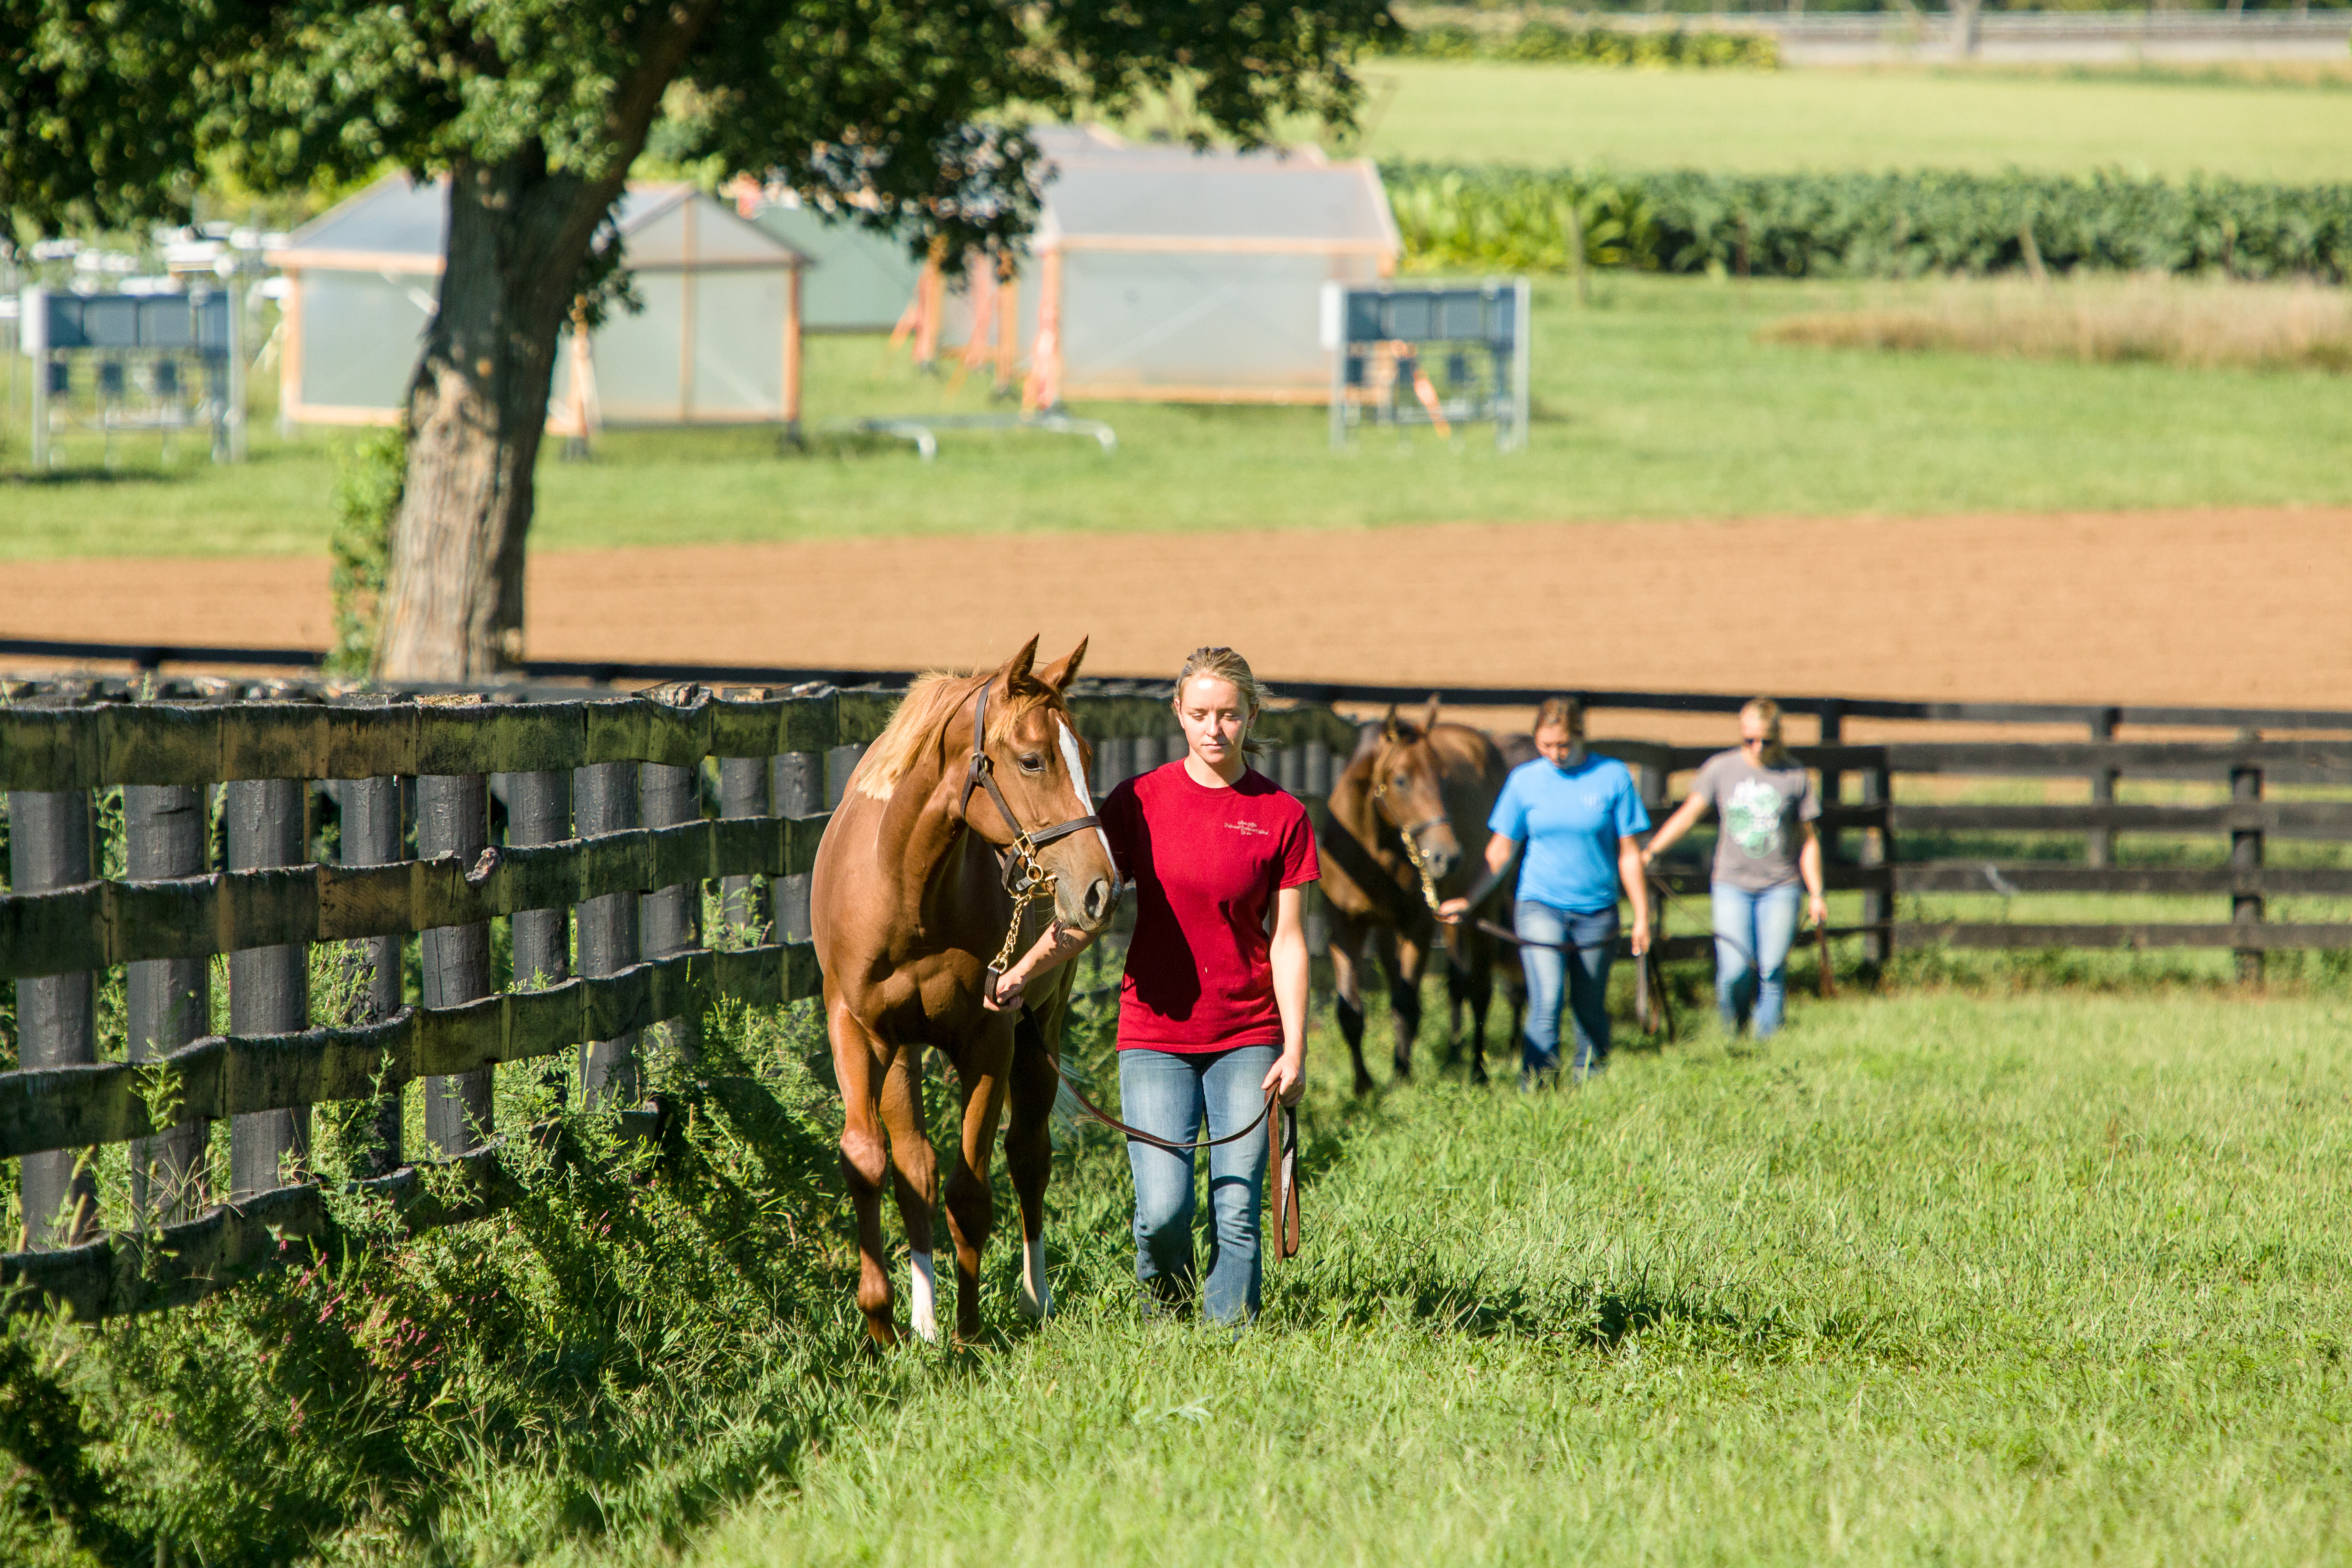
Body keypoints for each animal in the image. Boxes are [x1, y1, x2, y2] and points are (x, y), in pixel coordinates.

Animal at [809, 639, 1119, 1354]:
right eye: (1033, 759)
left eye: (1087, 756)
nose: (1102, 888)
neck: (905, 889)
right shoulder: (857, 1030)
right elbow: (869, 1162)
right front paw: (882, 1322)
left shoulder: (990, 1041)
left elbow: (972, 1193)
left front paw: (971, 1330)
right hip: (902, 1054)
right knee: (914, 1168)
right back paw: (922, 1319)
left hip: (1040, 1033)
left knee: (1029, 1157)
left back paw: (1035, 1298)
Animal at [1317, 710, 1515, 1091]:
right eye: (1401, 780)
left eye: (1445, 779)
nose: (1447, 857)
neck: (1371, 848)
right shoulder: (1346, 924)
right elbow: (1350, 1009)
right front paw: (1363, 1086)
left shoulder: (1417, 925)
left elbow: (1407, 1004)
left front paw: (1402, 1078)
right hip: (1445, 915)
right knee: (1457, 982)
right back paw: (1452, 1058)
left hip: (1482, 906)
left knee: (1480, 991)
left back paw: (1478, 1072)